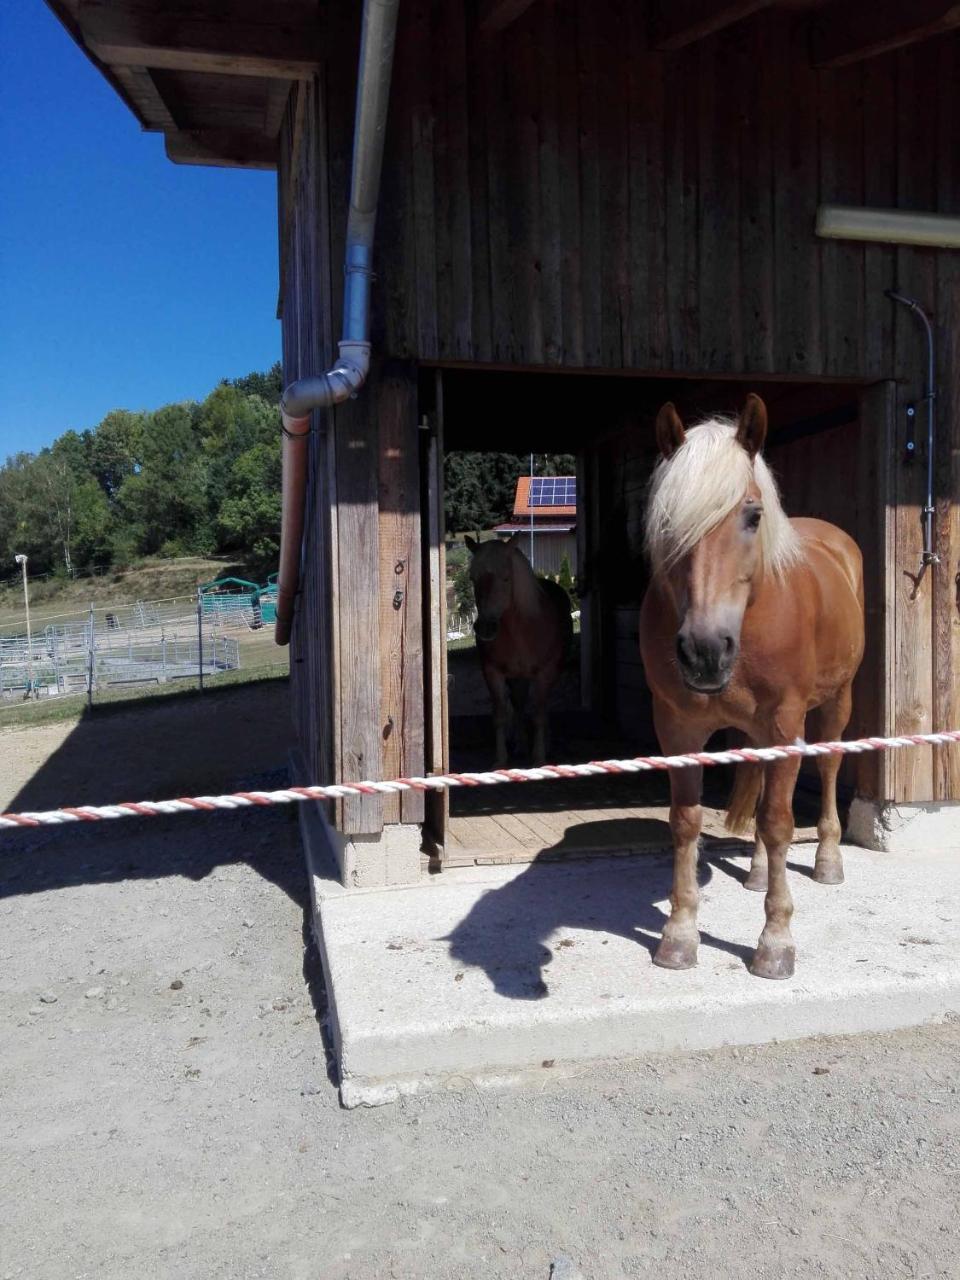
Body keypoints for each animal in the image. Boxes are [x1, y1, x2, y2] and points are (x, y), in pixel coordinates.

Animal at [465, 535, 570, 762]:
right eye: (472, 578)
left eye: (506, 578)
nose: (485, 627)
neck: (521, 631)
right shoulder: (493, 673)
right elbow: (500, 716)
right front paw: (501, 759)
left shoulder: (545, 673)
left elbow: (539, 714)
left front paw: (539, 757)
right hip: (517, 678)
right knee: (520, 705)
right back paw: (521, 746)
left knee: (543, 706)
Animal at [642, 396, 870, 977]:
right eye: (668, 522)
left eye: (752, 515)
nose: (704, 651)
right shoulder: (677, 729)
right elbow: (685, 822)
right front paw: (679, 935)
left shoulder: (786, 722)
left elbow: (779, 821)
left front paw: (775, 942)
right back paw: (760, 872)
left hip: (834, 704)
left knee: (827, 769)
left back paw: (828, 860)